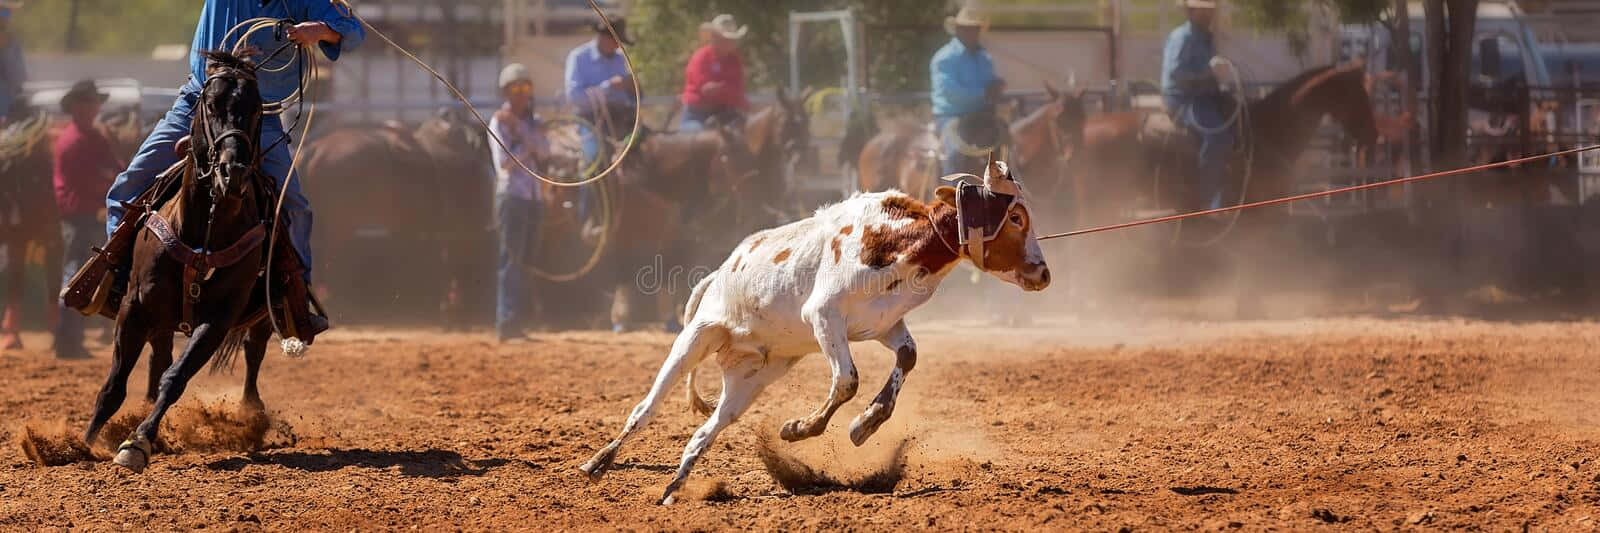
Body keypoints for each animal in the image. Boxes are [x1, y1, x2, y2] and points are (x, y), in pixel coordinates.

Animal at [82, 51, 281, 473]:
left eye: (257, 109)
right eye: (211, 104)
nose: (233, 172)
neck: (203, 232)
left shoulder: (218, 320)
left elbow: (175, 379)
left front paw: (137, 441)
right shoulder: (134, 307)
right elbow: (114, 386)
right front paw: (81, 443)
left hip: (258, 318)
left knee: (252, 353)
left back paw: (250, 414)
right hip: (159, 319)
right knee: (158, 359)